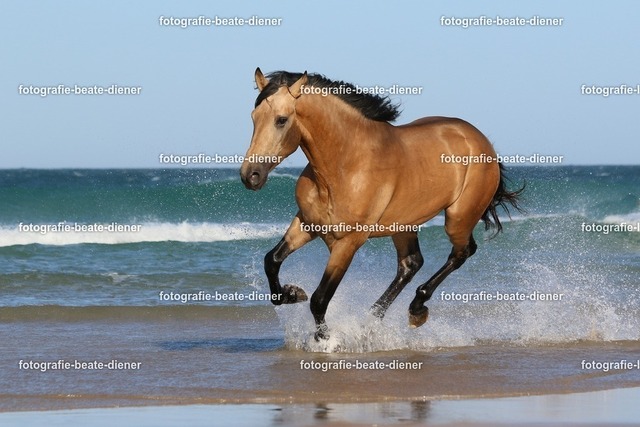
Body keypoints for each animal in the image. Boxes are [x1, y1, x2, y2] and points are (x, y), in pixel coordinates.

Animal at [240, 68, 522, 340]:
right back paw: (373, 321)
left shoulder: (348, 243)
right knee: (411, 264)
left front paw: (325, 339)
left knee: (461, 252)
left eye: (281, 120)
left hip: (458, 218)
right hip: (404, 225)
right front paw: (292, 293)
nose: (250, 175)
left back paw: (416, 309)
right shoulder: (307, 223)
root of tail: (480, 139)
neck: (344, 164)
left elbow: (320, 299)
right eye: (254, 117)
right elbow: (271, 260)